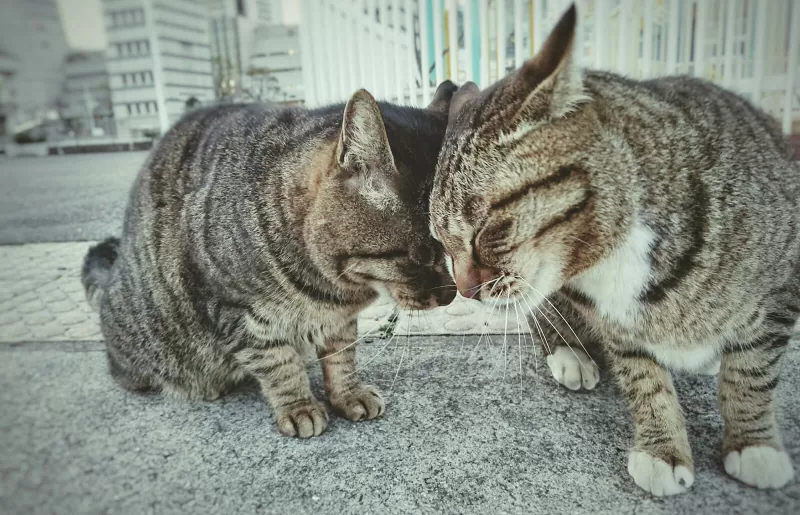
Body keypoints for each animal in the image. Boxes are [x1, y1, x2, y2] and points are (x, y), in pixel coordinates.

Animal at [82, 84, 460, 440]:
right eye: (421, 255)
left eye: (450, 249)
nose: (451, 295)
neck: (335, 289)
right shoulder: (236, 312)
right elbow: (279, 365)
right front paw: (299, 407)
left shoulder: (338, 319)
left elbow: (342, 357)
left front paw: (348, 394)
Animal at [432, 4, 800, 496]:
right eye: (441, 242)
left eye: (485, 230)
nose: (465, 291)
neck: (614, 260)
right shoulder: (618, 328)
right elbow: (645, 381)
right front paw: (663, 449)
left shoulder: (782, 288)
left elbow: (752, 373)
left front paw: (753, 443)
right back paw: (569, 354)